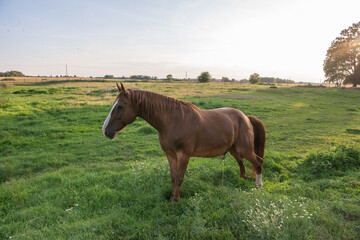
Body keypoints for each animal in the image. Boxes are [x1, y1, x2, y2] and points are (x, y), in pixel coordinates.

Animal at [101, 83, 264, 202]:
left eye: (120, 106)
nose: (105, 131)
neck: (173, 121)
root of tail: (246, 117)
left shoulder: (183, 155)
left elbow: (180, 178)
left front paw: (175, 200)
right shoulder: (171, 155)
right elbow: (174, 178)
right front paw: (173, 198)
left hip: (244, 149)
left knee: (258, 162)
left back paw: (258, 184)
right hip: (233, 149)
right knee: (242, 163)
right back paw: (242, 180)